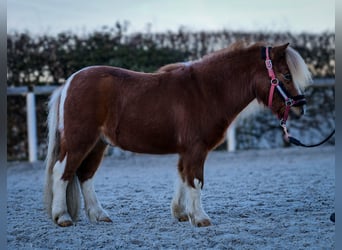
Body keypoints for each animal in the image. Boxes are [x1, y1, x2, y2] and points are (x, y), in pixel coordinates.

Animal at [44, 41, 312, 227]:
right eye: (286, 75)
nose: (301, 106)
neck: (207, 91)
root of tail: (69, 82)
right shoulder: (196, 149)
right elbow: (196, 180)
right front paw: (201, 218)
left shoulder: (187, 151)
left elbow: (183, 178)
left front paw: (183, 213)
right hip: (79, 141)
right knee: (62, 172)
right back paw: (62, 217)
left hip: (97, 144)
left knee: (85, 175)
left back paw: (99, 215)